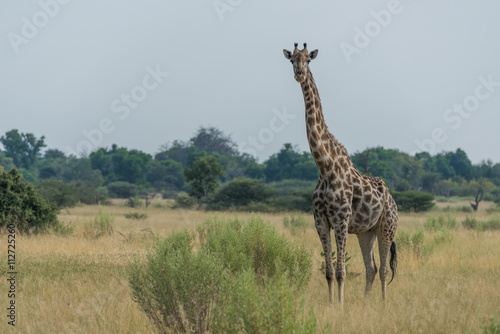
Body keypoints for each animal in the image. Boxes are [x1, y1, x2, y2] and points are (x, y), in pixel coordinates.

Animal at [286, 43, 398, 306]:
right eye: (291, 60)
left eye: (308, 60)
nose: (299, 74)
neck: (324, 166)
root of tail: (393, 200)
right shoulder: (320, 221)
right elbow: (328, 271)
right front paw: (331, 305)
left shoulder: (341, 220)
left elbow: (341, 271)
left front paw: (340, 306)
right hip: (367, 232)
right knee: (372, 268)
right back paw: (366, 305)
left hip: (387, 227)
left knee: (384, 269)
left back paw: (384, 305)